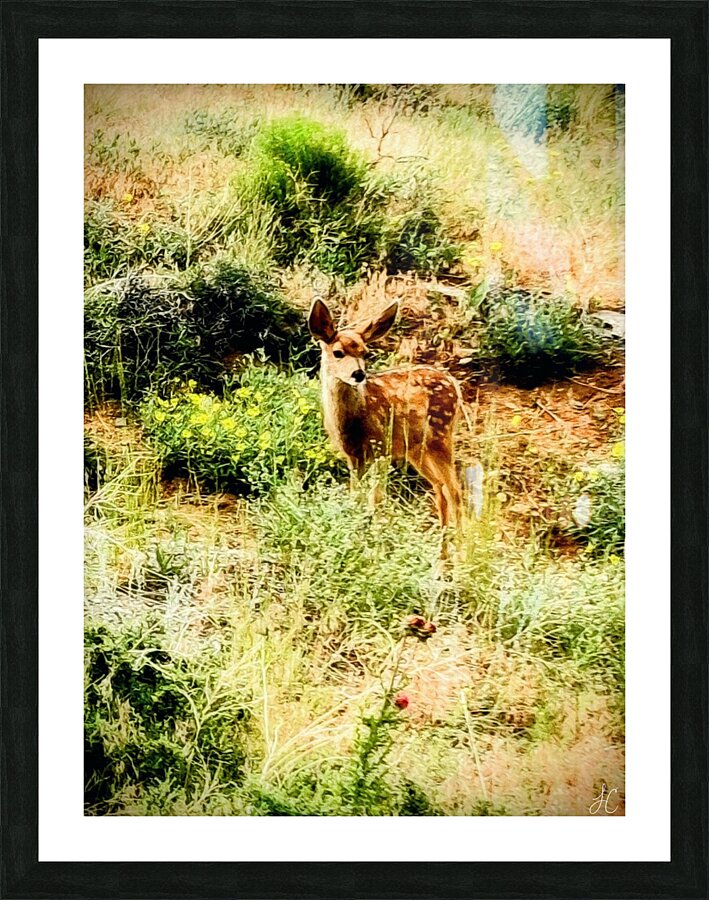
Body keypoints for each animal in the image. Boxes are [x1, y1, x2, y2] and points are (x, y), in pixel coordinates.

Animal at [308, 297, 464, 528]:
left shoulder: (381, 447)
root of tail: (454, 383)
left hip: (440, 435)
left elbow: (376, 499)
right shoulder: (352, 455)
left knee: (455, 490)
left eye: (365, 353)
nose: (358, 374)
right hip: (417, 449)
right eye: (337, 352)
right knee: (439, 486)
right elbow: (356, 496)